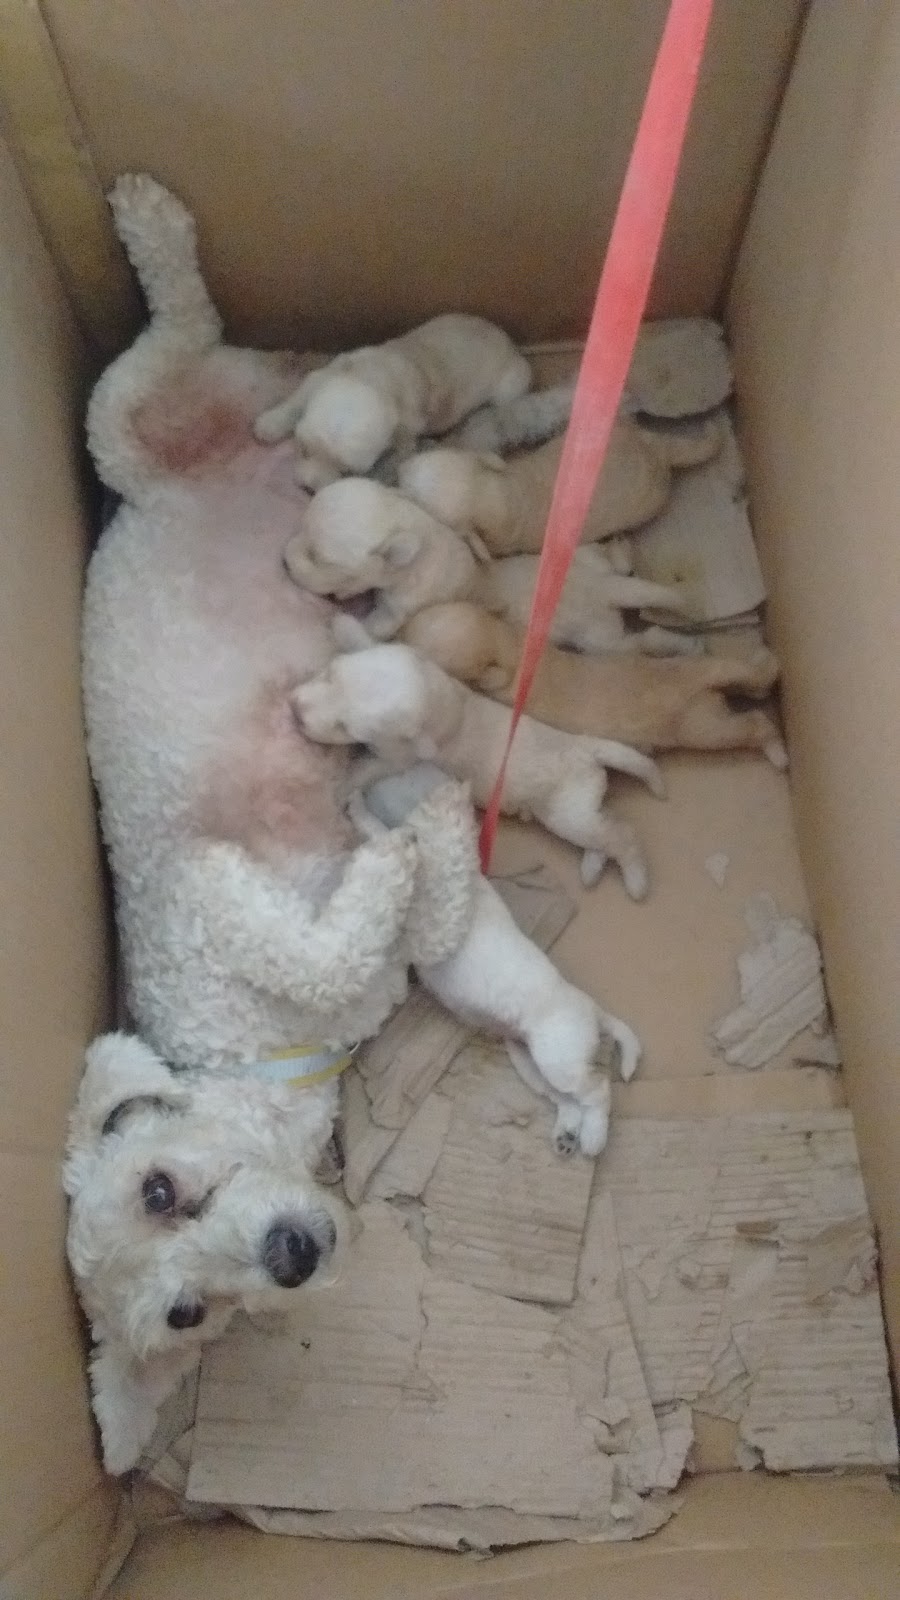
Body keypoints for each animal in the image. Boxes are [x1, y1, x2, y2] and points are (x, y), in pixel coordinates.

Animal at [75, 175, 481, 1471]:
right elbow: (395, 929)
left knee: (172, 339)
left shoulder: (214, 894)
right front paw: (424, 836)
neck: (245, 1059)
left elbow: (330, 935)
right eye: (185, 1313)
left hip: (132, 422)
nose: (290, 1255)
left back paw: (154, 225)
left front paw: (401, 833)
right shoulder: (353, 963)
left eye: (160, 1185)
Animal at [253, 313, 532, 488]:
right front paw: (270, 423)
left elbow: (398, 455)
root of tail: (508, 340)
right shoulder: (325, 373)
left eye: (350, 472)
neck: (375, 378)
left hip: (510, 387)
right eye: (303, 449)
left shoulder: (407, 433)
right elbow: (297, 400)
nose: (309, 489)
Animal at [293, 623, 665, 897]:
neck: (444, 698)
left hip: (566, 813)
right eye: (328, 673)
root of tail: (586, 747)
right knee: (605, 828)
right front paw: (345, 626)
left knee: (622, 834)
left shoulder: (397, 758)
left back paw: (637, 880)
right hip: (580, 809)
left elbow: (366, 768)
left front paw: (342, 787)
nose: (295, 712)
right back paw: (592, 868)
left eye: (345, 727)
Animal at [358, 765, 641, 1157]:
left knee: (598, 1089)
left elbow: (384, 834)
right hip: (530, 1063)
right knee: (568, 1100)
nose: (369, 782)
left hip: (559, 1059)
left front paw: (358, 811)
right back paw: (567, 1134)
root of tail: (593, 1009)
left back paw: (593, 1138)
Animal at [401, 603, 788, 766]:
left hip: (702, 728)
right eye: (420, 618)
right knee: (749, 680)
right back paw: (765, 665)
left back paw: (777, 752)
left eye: (428, 653)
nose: (397, 635)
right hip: (707, 683)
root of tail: (698, 682)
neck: (509, 646)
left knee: (754, 725)